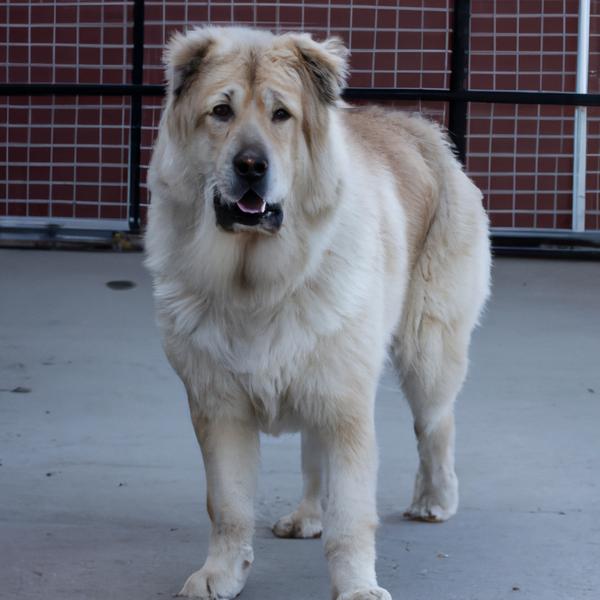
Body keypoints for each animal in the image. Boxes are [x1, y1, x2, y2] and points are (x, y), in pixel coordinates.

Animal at [144, 25, 488, 596]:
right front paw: (220, 574)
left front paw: (357, 586)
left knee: (436, 424)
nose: (251, 165)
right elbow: (229, 505)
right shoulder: (219, 405)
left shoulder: (345, 402)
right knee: (313, 456)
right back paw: (307, 517)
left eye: (282, 115)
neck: (256, 282)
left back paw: (434, 501)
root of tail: (420, 128)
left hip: (427, 351)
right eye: (221, 112)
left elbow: (351, 514)